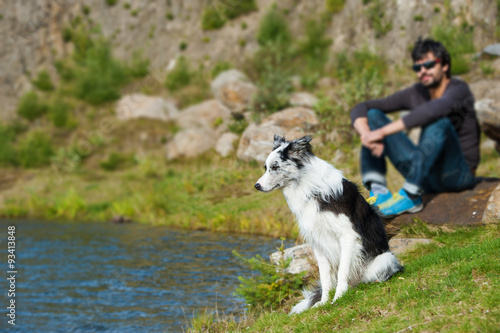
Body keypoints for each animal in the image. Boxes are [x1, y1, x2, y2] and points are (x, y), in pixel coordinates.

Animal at [254, 135, 402, 314]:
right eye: (266, 167)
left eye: (275, 167)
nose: (257, 186)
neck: (309, 188)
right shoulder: (318, 242)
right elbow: (325, 278)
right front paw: (323, 302)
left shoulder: (348, 235)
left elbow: (342, 271)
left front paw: (338, 298)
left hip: (385, 258)